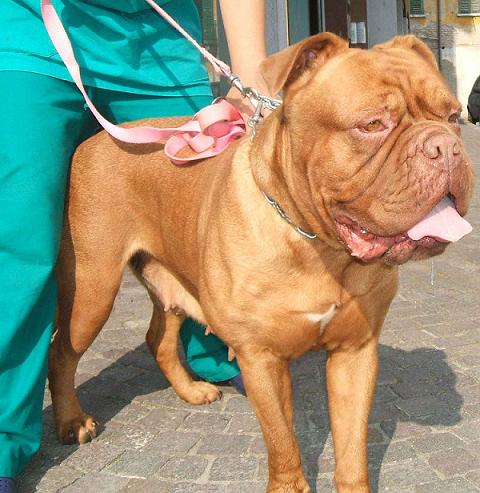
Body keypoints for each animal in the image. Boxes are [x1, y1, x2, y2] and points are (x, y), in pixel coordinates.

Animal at [49, 33, 474, 492]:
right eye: (373, 124)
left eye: (454, 116)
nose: (445, 146)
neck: (319, 247)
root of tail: (94, 139)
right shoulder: (261, 359)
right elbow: (282, 442)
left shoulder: (355, 353)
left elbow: (352, 449)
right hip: (92, 292)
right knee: (61, 351)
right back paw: (73, 422)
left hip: (168, 278)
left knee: (159, 337)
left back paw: (191, 390)